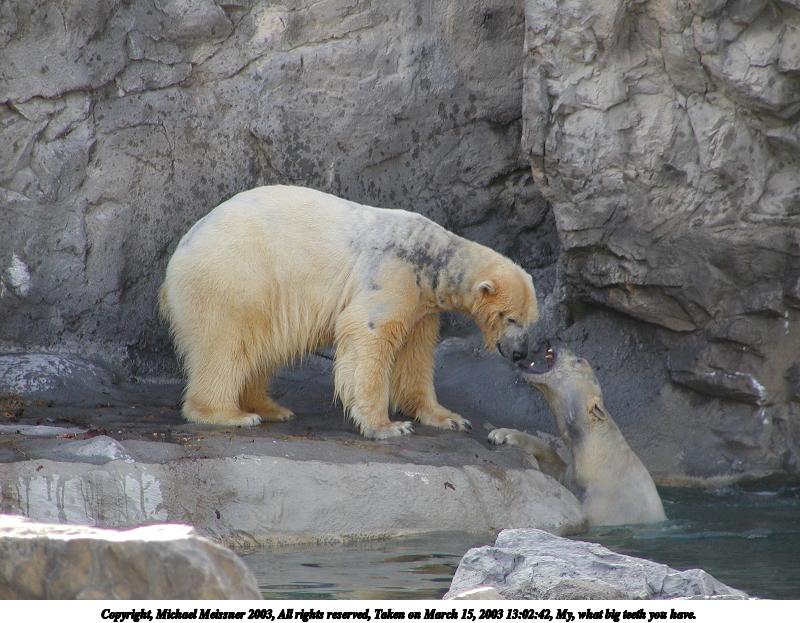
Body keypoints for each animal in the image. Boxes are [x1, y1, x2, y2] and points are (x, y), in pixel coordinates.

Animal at [160, 185, 538, 439]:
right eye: (510, 318)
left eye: (531, 321)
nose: (520, 352)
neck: (429, 256)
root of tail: (182, 248)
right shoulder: (392, 274)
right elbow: (368, 332)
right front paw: (388, 425)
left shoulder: (422, 303)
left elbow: (415, 356)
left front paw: (449, 417)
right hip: (234, 277)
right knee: (225, 344)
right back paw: (229, 414)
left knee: (261, 347)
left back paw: (270, 408)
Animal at [489, 345, 666, 526]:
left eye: (579, 361)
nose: (561, 345)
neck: (600, 458)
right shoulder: (573, 475)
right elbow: (553, 465)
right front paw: (503, 434)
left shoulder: (601, 503)